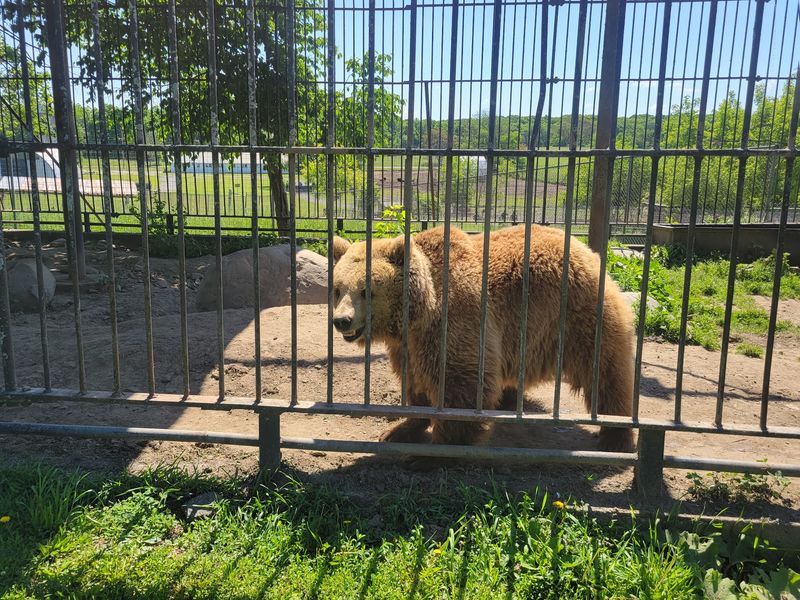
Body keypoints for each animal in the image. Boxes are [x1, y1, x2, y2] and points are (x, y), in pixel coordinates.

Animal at [331, 225, 635, 452]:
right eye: (338, 288)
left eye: (367, 291)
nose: (342, 320)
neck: (419, 312)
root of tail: (586, 249)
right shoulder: (409, 345)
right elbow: (416, 381)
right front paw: (398, 429)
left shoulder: (454, 324)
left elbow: (459, 385)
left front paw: (441, 446)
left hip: (578, 317)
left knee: (605, 373)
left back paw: (615, 436)